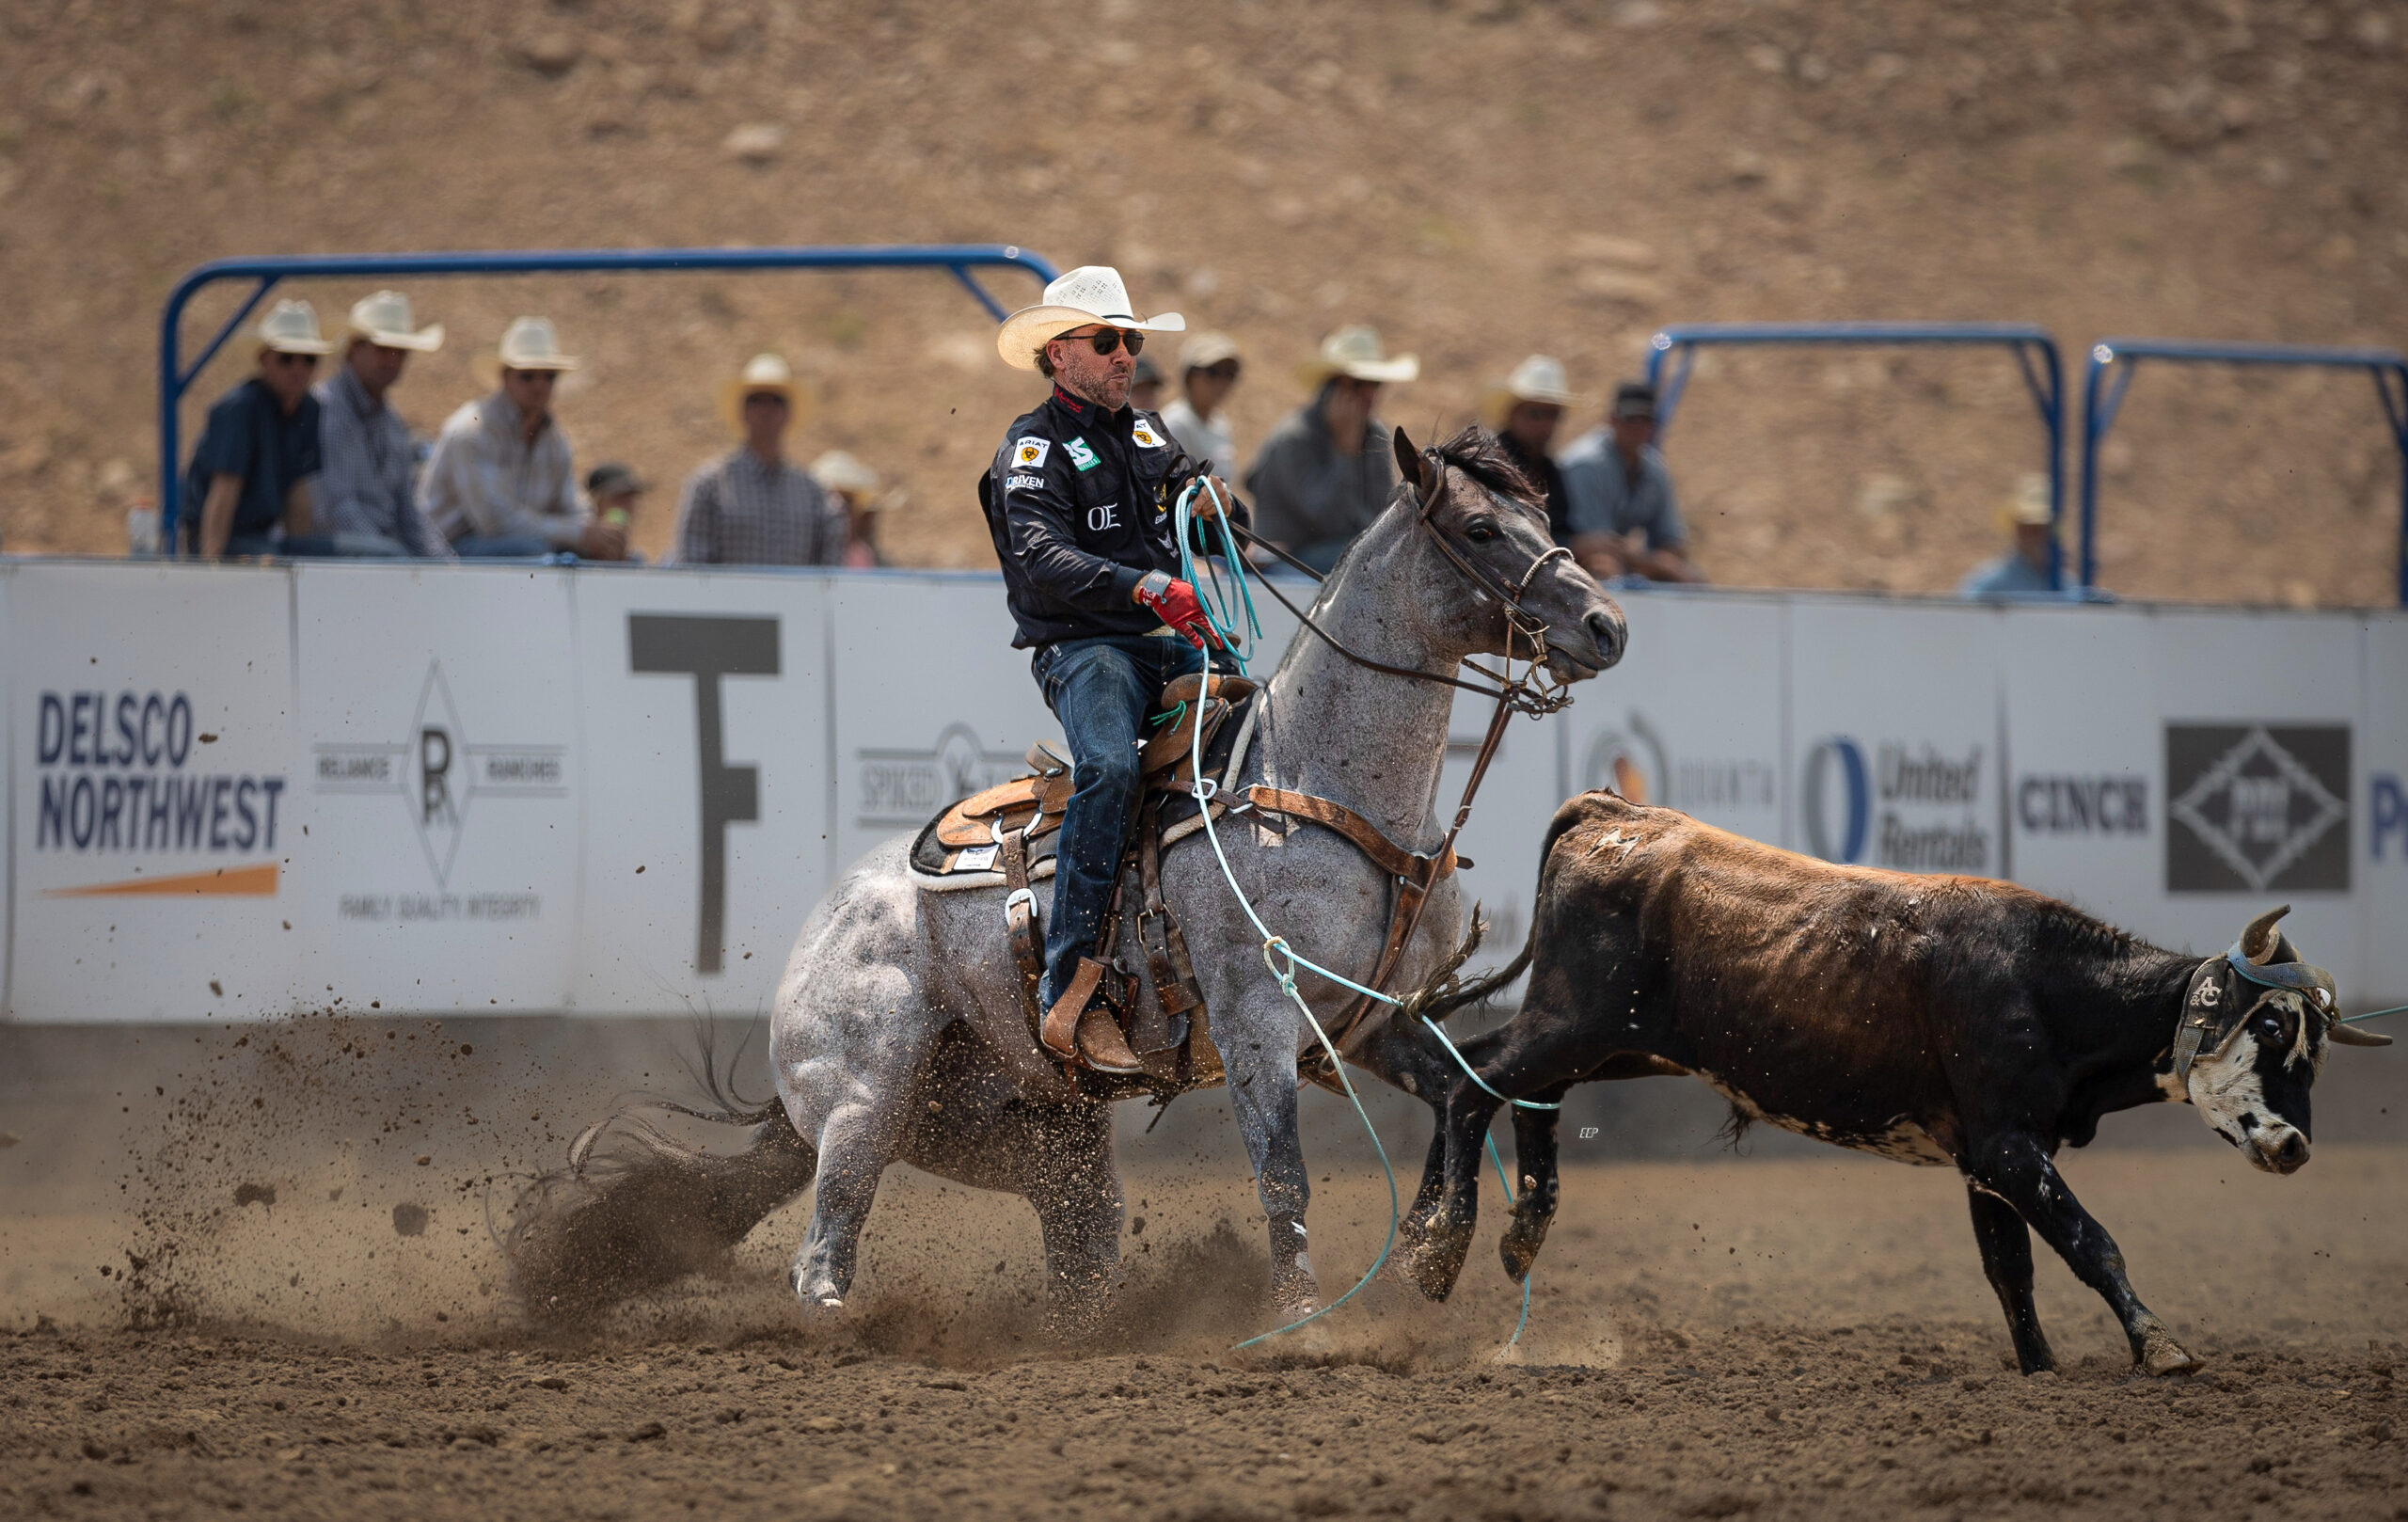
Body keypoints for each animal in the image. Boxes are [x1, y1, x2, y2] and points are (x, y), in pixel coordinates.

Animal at [511, 427, 1624, 1331]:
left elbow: (1464, 1091)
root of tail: (822, 933)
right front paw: (1306, 1318)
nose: (1609, 624)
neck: (1315, 781)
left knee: (1077, 1252)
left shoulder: (1378, 1018)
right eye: (1481, 527)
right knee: (823, 1250)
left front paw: (1439, 1250)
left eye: (1541, 515)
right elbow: (1284, 1179)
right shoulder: (1256, 1018)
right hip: (865, 1103)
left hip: (1034, 1137)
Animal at [1397, 790, 2391, 1376]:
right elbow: (2089, 1241)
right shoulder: (2008, 1146)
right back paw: (1436, 1249)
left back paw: (1499, 1232)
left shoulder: (1985, 1159)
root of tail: (1617, 813)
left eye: (2319, 1051)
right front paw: (2160, 1345)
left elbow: (2012, 1271)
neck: (2043, 982)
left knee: (1506, 1087)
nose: (2295, 1145)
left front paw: (2040, 1369)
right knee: (1468, 1085)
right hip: (1577, 1021)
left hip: (1612, 1039)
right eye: (2272, 1027)